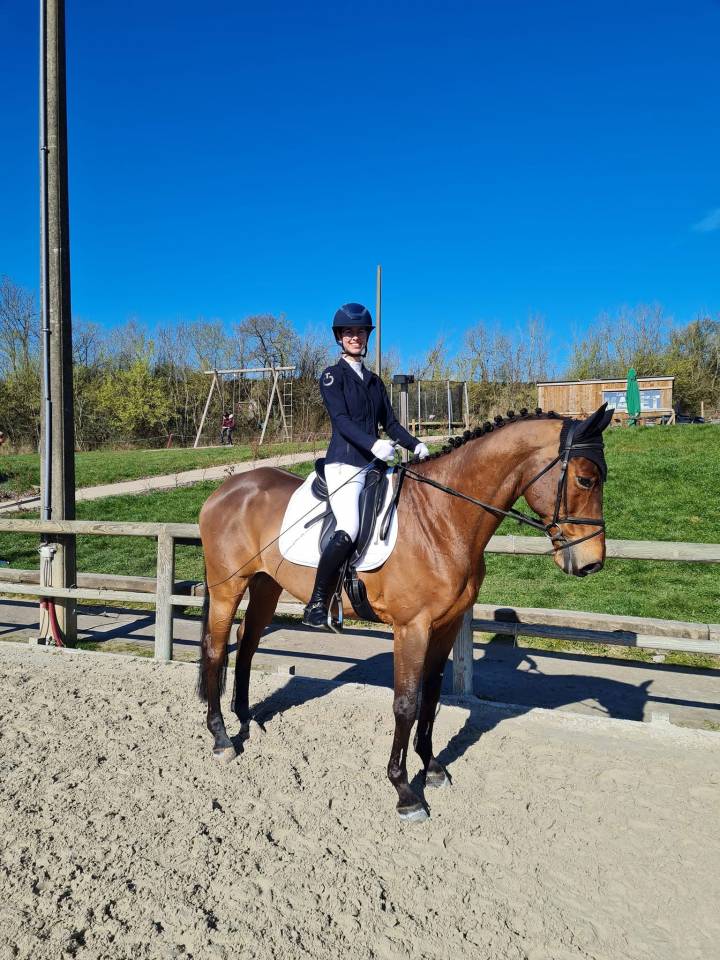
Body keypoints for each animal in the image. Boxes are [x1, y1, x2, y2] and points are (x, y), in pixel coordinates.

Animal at [197, 404, 613, 820]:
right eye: (586, 479)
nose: (591, 563)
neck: (442, 518)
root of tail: (227, 489)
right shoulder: (412, 628)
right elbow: (406, 704)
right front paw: (404, 790)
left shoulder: (446, 626)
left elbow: (430, 698)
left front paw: (431, 767)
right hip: (227, 588)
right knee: (216, 650)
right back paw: (221, 738)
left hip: (266, 584)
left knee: (246, 643)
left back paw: (246, 719)